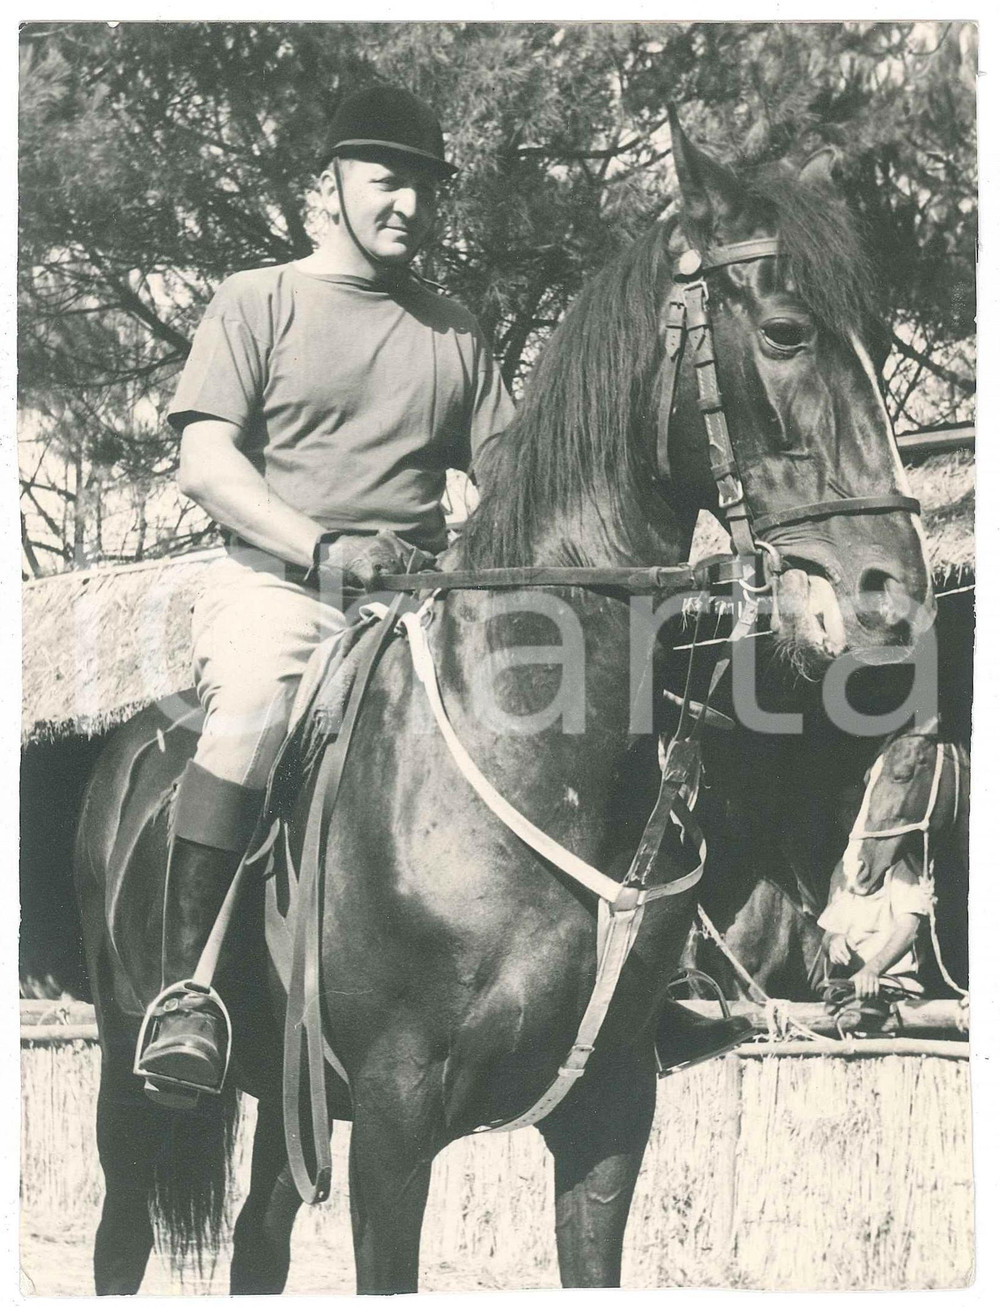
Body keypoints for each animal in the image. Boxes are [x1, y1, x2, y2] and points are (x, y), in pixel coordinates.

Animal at [74, 111, 936, 1294]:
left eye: (883, 344)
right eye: (786, 330)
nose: (889, 597)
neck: (537, 748)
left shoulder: (610, 1114)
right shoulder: (395, 1125)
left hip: (290, 1100)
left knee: (258, 1240)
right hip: (130, 1078)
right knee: (122, 1236)